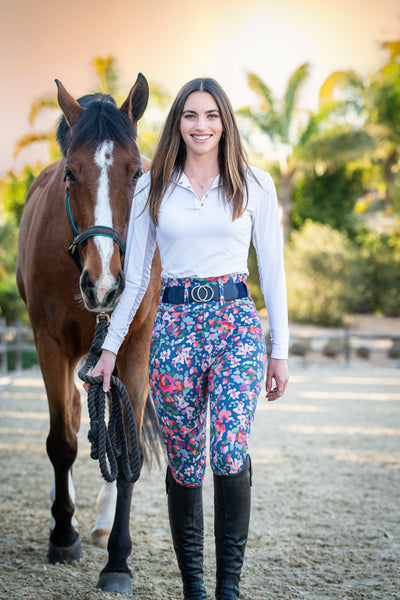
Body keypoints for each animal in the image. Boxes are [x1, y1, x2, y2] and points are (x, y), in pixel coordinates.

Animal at [16, 72, 162, 592]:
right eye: (70, 174)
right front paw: (62, 536)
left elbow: (126, 445)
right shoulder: (49, 344)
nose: (104, 284)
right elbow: (62, 440)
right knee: (77, 417)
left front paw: (118, 559)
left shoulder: (135, 347)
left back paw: (100, 525)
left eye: (136, 174)